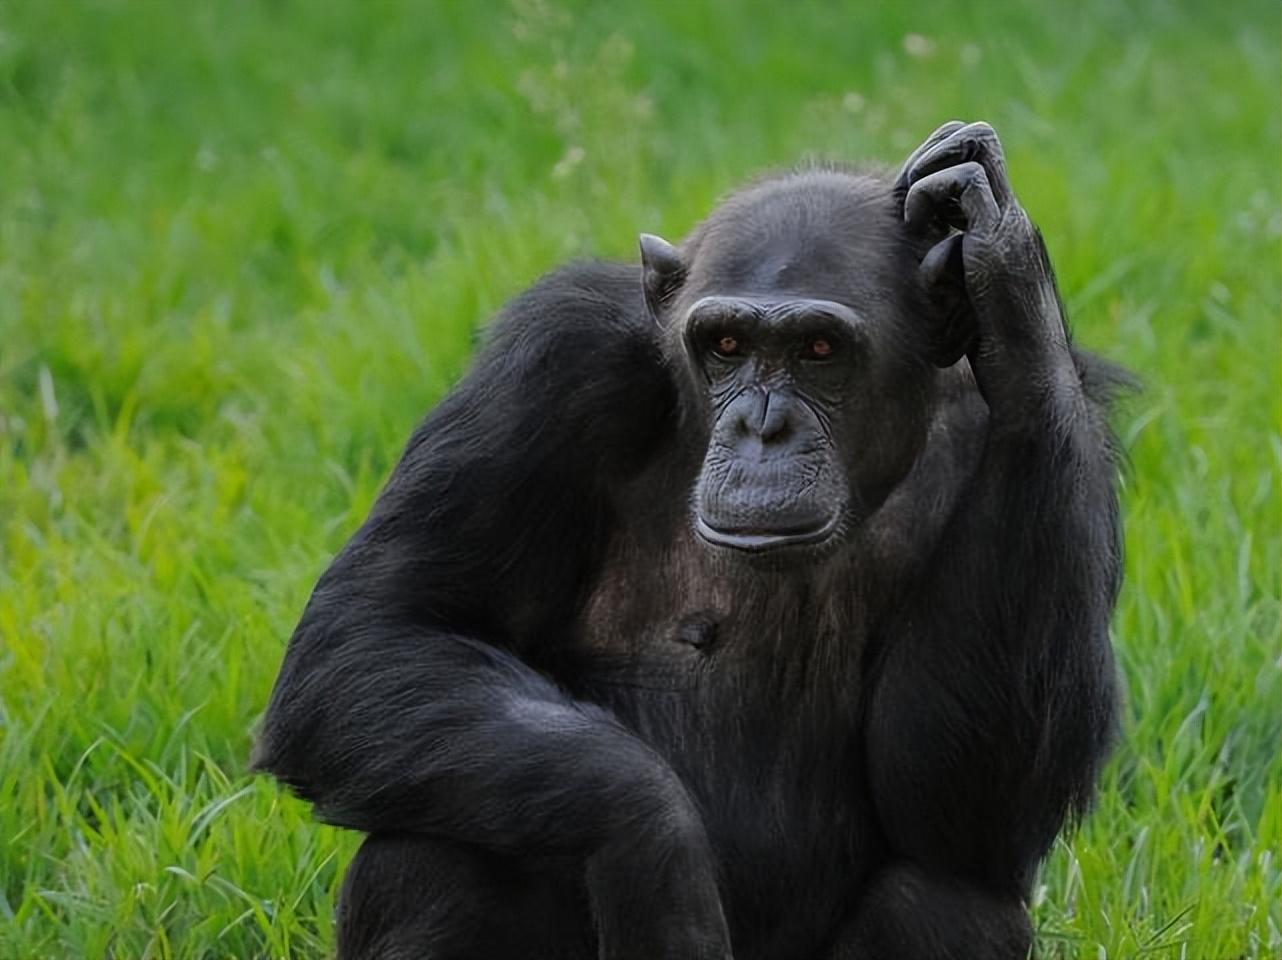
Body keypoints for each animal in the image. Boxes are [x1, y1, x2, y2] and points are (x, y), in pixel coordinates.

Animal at [255, 121, 1128, 958]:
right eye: (727, 346)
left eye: (819, 349)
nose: (763, 427)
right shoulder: (553, 363)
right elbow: (381, 628)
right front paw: (653, 852)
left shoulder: (1058, 432)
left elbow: (962, 815)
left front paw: (1005, 262)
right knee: (434, 856)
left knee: (950, 902)